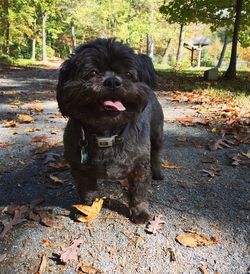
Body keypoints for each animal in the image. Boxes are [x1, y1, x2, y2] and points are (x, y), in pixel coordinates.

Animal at [56, 38, 164, 223]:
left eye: (128, 74)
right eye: (92, 73)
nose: (112, 81)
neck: (108, 134)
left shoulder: (139, 167)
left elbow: (139, 192)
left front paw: (140, 212)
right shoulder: (80, 170)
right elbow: (87, 192)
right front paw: (87, 210)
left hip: (157, 134)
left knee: (155, 154)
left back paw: (157, 171)